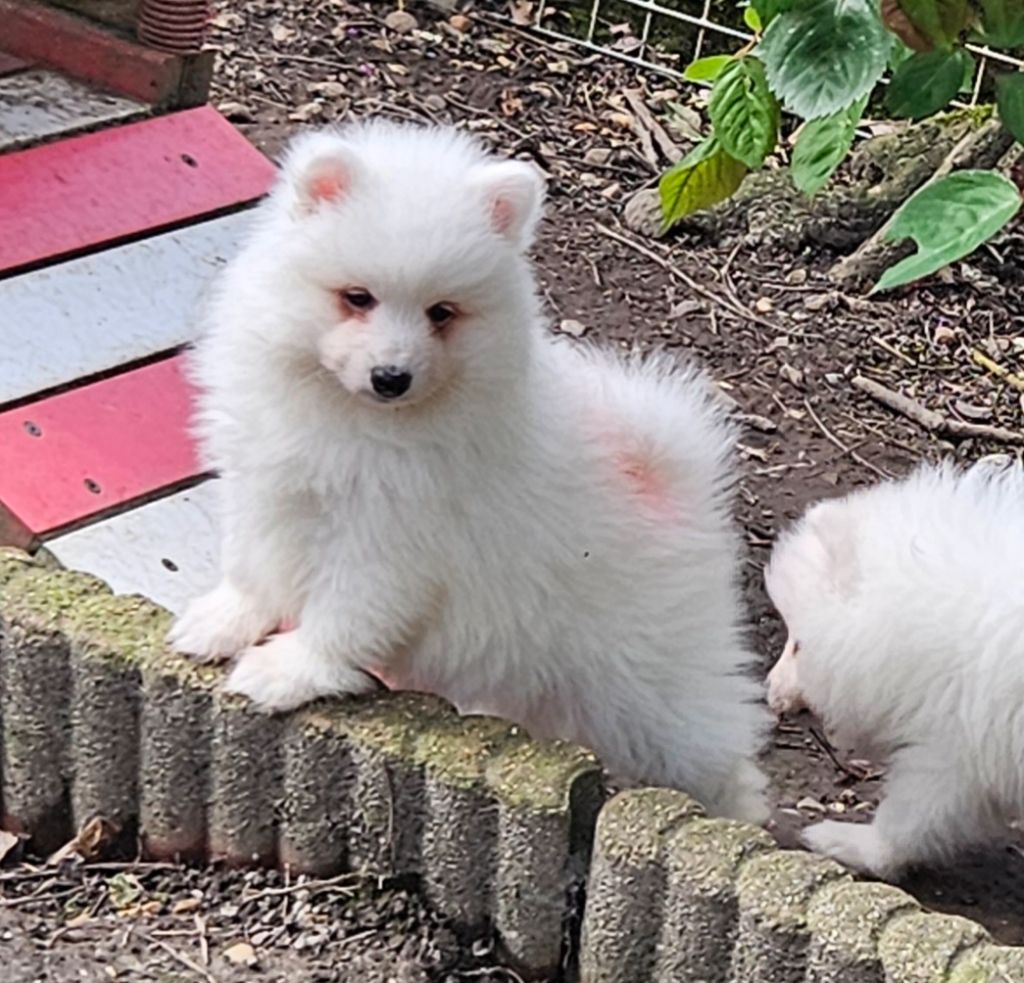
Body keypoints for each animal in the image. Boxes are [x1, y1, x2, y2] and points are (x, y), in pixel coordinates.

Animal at [169, 120, 770, 823]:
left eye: (441, 313)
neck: (353, 417)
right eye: (357, 298)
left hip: (656, 690)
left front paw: (287, 670)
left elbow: (344, 614)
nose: (392, 377)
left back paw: (742, 811)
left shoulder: (389, 545)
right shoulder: (266, 487)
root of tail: (677, 487)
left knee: (714, 749)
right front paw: (222, 622)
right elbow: (252, 566)